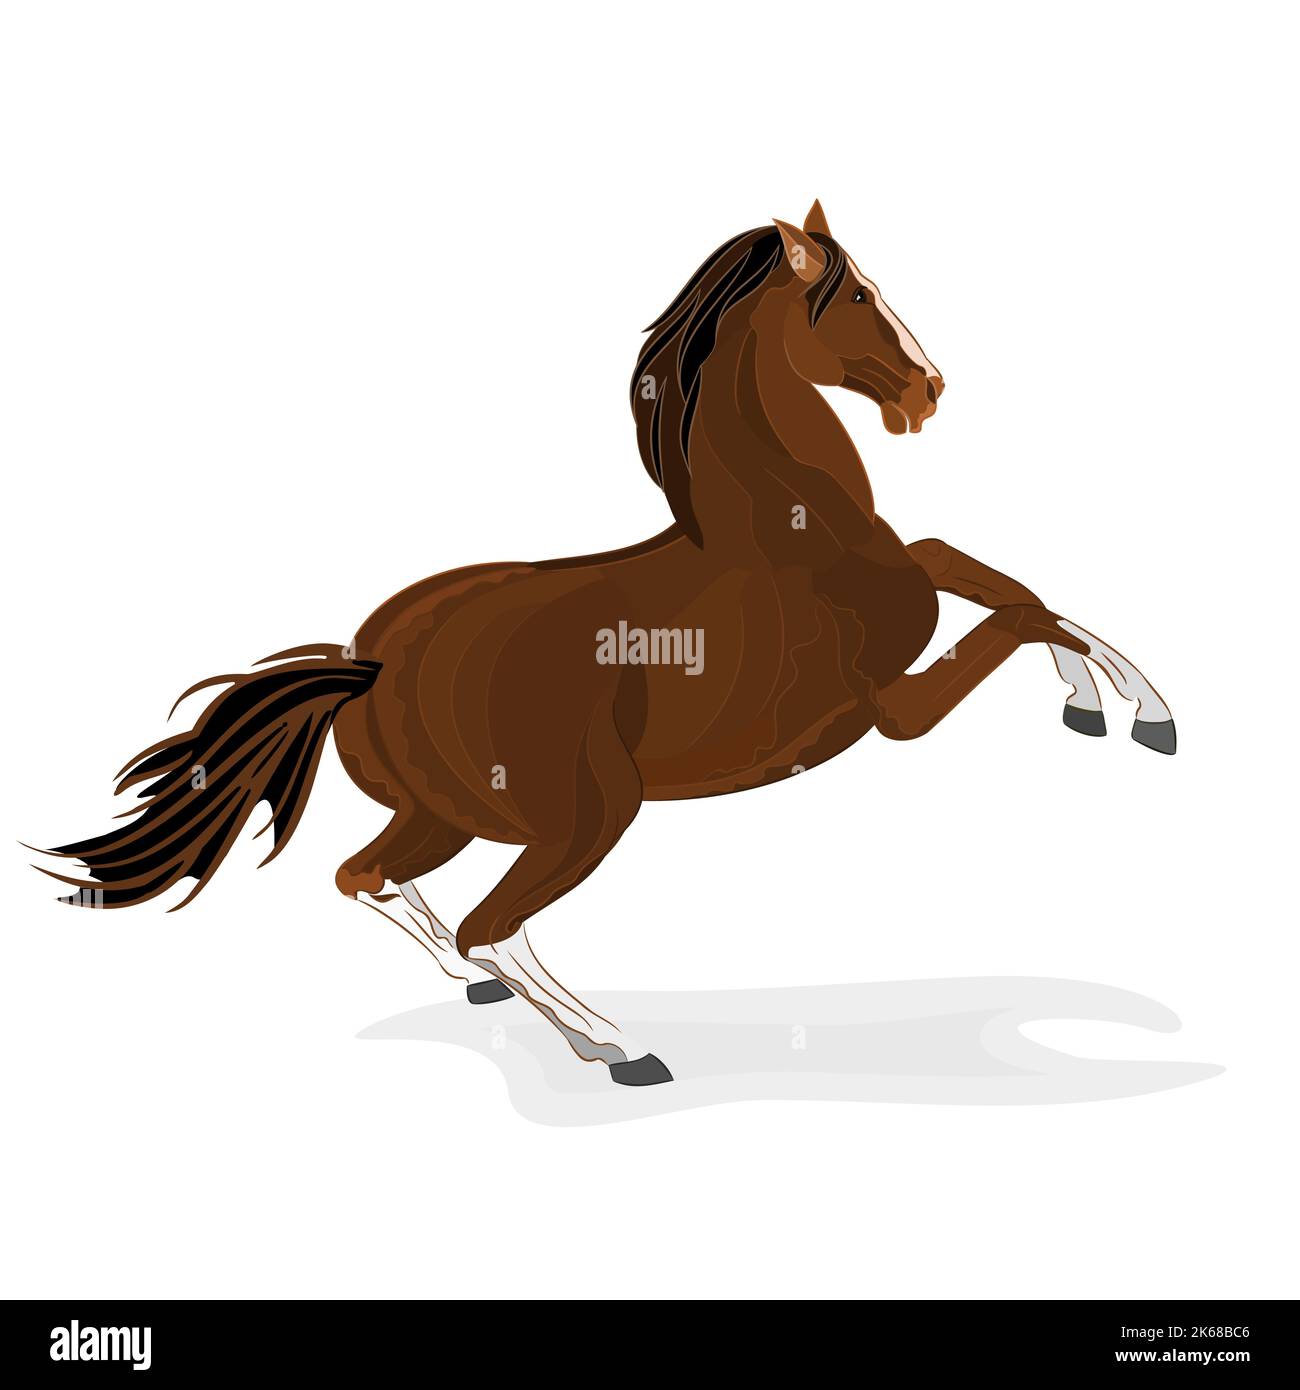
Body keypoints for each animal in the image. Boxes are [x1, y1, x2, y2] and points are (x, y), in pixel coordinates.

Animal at [37, 201, 1175, 1086]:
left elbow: (988, 576)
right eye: (856, 297)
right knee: (483, 920)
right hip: (588, 814)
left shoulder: (913, 598)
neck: (792, 527)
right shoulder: (890, 711)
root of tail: (374, 668)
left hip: (447, 817)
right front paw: (1125, 710)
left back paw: (483, 990)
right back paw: (614, 1045)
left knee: (371, 880)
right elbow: (1014, 611)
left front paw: (1112, 701)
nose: (928, 389)